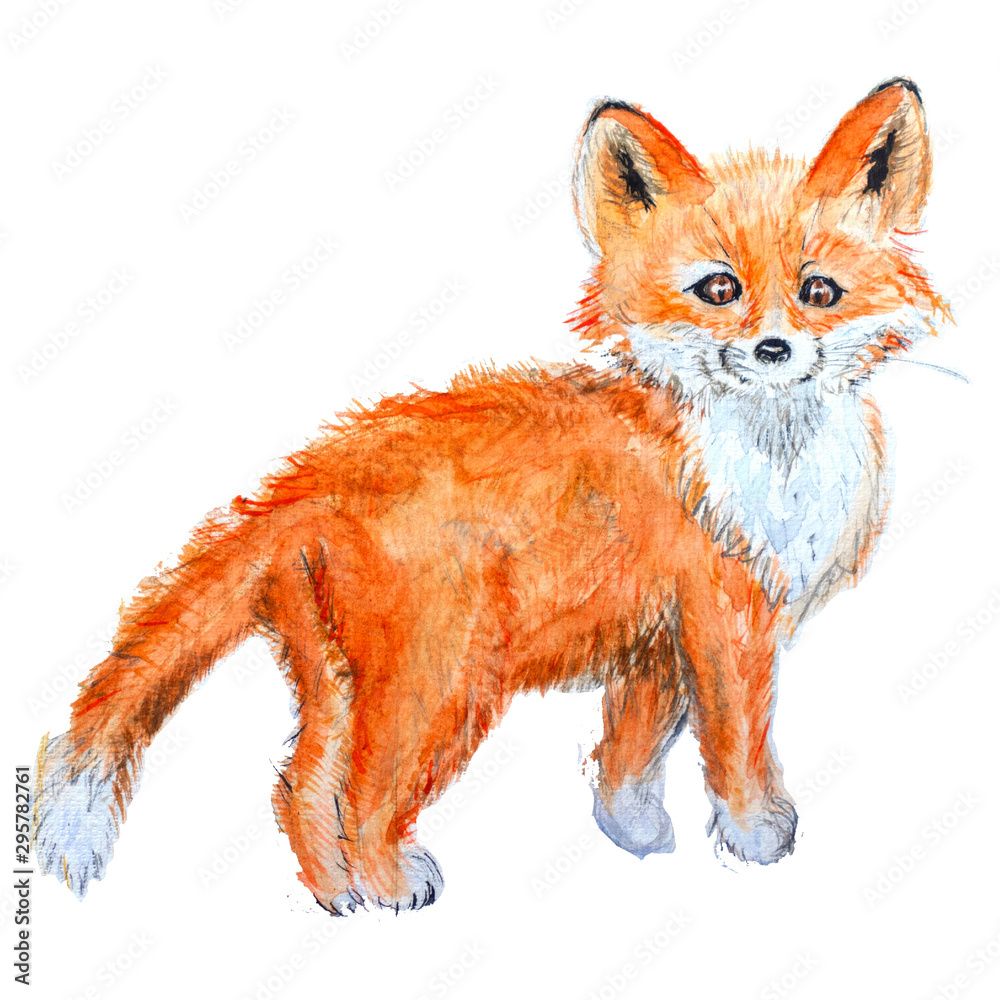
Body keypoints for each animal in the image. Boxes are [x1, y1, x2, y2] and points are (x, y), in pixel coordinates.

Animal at [33, 77, 949, 915]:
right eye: (719, 289)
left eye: (819, 292)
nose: (773, 351)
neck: (767, 462)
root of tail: (306, 480)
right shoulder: (728, 614)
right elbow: (737, 745)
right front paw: (758, 840)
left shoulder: (655, 639)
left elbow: (629, 753)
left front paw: (634, 837)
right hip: (444, 684)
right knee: (362, 795)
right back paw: (390, 886)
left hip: (340, 679)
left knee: (299, 785)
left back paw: (339, 901)